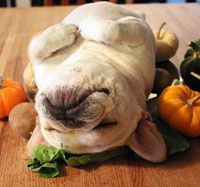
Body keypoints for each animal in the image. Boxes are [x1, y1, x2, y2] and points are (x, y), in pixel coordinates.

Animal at [27, 1, 167, 162]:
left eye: (106, 125)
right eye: (50, 129)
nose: (66, 115)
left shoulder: (140, 34)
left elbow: (113, 30)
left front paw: (89, 25)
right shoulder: (39, 64)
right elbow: (34, 50)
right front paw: (62, 33)